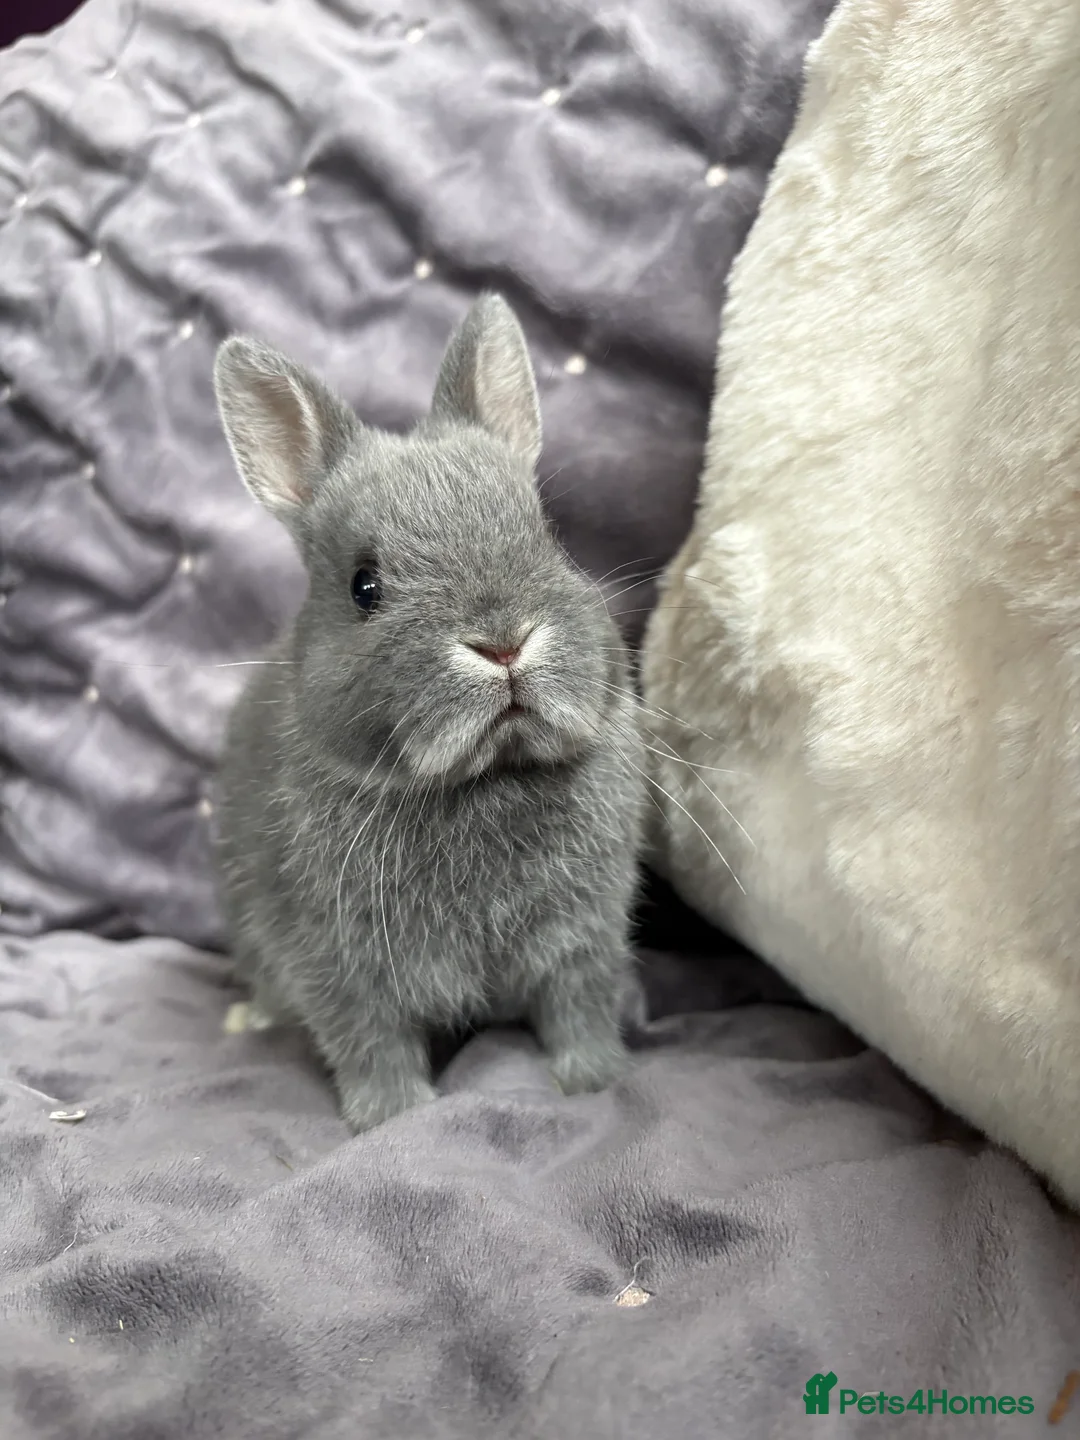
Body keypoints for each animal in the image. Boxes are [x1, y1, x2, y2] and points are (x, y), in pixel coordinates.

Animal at [211, 294, 646, 1133]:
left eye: (546, 537)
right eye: (365, 586)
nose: (503, 643)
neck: (484, 780)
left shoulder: (582, 938)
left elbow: (580, 1012)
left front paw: (597, 1081)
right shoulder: (337, 962)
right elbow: (370, 1045)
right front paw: (392, 1119)